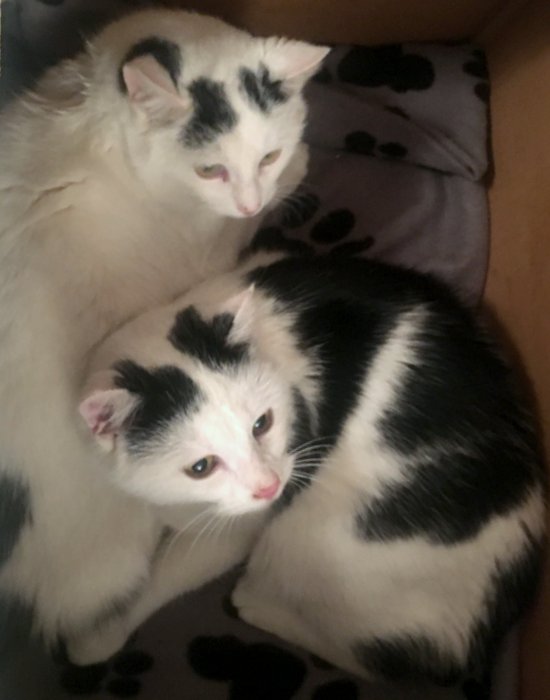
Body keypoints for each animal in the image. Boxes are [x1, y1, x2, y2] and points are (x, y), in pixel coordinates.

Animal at [0, 9, 328, 668]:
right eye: (209, 169)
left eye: (267, 154)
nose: (252, 195)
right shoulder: (208, 246)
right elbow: (237, 228)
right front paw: (299, 171)